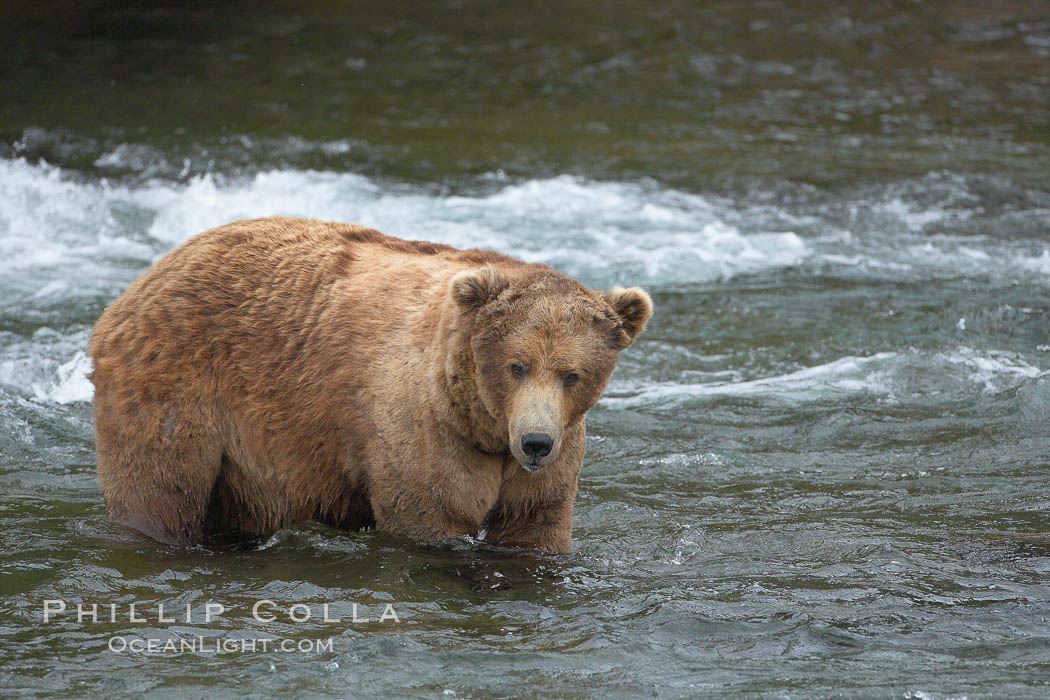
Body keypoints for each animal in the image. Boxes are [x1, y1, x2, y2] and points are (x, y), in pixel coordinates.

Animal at [88, 216, 646, 554]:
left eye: (572, 373)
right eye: (517, 365)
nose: (535, 442)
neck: (482, 427)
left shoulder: (550, 462)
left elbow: (535, 526)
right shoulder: (422, 431)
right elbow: (430, 518)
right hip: (177, 388)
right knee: (161, 490)